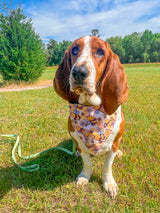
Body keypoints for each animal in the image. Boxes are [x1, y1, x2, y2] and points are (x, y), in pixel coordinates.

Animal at [53, 36, 129, 198]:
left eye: (100, 52)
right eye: (75, 50)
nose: (78, 72)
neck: (92, 111)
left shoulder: (113, 145)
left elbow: (107, 166)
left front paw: (109, 183)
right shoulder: (80, 144)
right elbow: (87, 162)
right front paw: (84, 177)